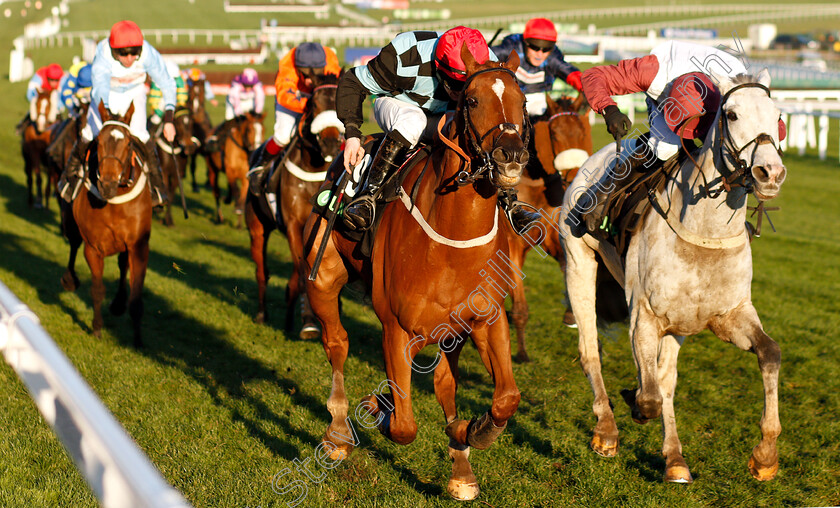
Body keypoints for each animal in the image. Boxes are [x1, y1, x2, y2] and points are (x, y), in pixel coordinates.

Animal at [61, 102, 155, 350]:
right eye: (99, 142)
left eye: (128, 143)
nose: (108, 184)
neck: (114, 201)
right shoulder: (93, 248)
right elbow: (97, 289)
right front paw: (96, 328)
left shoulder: (139, 246)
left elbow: (136, 297)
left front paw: (138, 340)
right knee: (73, 244)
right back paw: (69, 279)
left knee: (123, 265)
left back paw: (119, 303)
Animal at [244, 72, 342, 334]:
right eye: (314, 104)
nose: (331, 144)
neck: (314, 168)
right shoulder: (293, 225)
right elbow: (301, 275)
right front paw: (308, 321)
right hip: (257, 229)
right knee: (261, 272)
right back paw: (262, 313)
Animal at [302, 48, 524, 500]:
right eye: (472, 100)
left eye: (523, 101)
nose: (511, 154)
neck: (452, 238)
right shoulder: (397, 329)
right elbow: (404, 426)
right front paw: (377, 409)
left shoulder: (484, 320)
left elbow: (505, 397)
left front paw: (472, 434)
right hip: (323, 278)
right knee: (337, 344)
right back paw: (338, 432)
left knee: (443, 381)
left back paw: (460, 463)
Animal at [506, 92, 592, 362]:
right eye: (554, 133)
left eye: (581, 132)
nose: (574, 175)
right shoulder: (511, 245)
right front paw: (522, 352)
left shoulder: (553, 235)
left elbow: (567, 263)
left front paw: (571, 312)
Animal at [560, 70, 784, 480]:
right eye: (731, 114)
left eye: (777, 115)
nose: (771, 173)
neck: (705, 233)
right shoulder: (644, 315)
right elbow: (648, 397)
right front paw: (631, 403)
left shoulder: (729, 315)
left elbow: (769, 353)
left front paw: (765, 454)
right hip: (579, 264)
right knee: (590, 352)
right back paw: (607, 430)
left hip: (677, 324)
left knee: (665, 377)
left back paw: (675, 458)